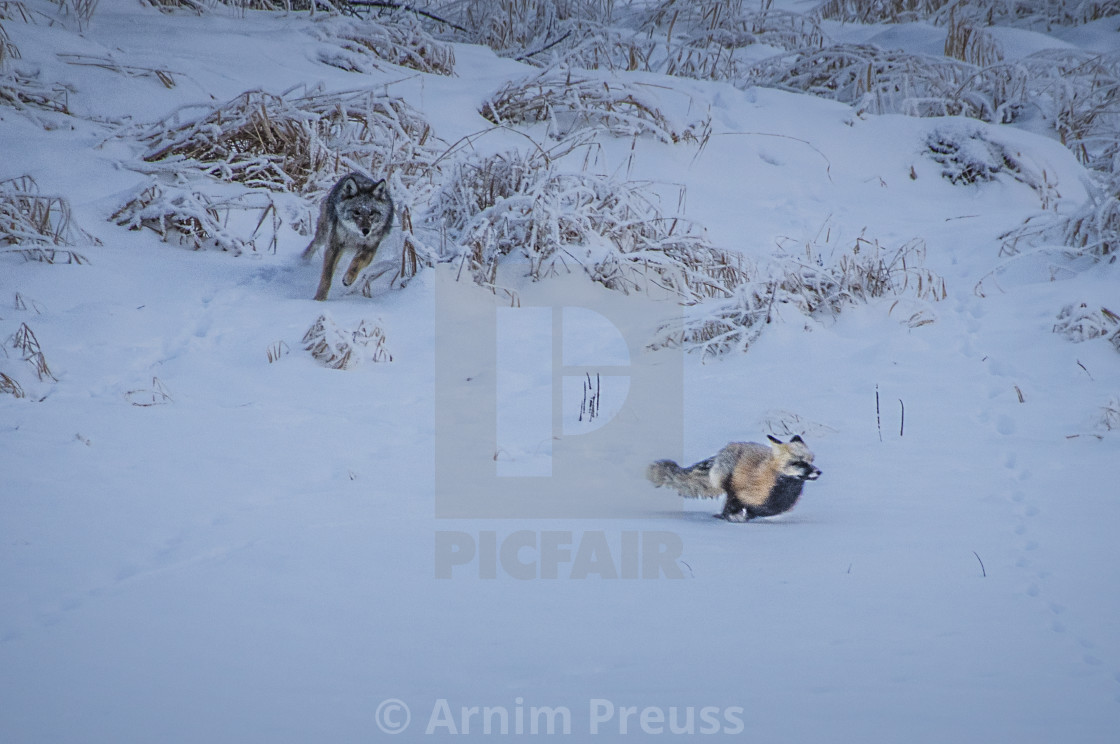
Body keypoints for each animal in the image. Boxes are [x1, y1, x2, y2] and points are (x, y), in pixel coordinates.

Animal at [302, 172, 394, 300]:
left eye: (371, 213)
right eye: (357, 212)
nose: (366, 231)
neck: (354, 236)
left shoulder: (370, 248)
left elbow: (357, 262)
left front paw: (348, 278)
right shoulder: (334, 245)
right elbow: (327, 275)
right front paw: (319, 299)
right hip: (324, 235)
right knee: (313, 244)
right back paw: (302, 261)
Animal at [649, 436, 824, 522]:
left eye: (811, 461)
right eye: (798, 463)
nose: (819, 472)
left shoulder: (773, 507)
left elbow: (757, 512)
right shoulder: (738, 494)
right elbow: (732, 509)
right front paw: (730, 518)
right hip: (727, 482)